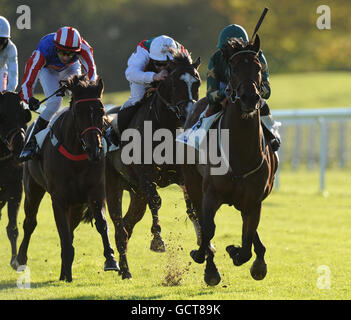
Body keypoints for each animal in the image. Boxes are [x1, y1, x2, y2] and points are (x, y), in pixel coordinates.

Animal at [14, 74, 119, 280]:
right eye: (78, 112)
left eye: (101, 110)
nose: (95, 150)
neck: (77, 154)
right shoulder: (59, 199)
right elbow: (63, 232)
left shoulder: (95, 192)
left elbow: (101, 224)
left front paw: (111, 259)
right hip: (32, 189)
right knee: (30, 223)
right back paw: (21, 260)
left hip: (77, 205)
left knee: (71, 228)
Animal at [105, 51, 201, 278]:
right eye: (174, 83)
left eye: (197, 82)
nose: (189, 114)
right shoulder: (147, 175)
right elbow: (156, 201)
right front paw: (157, 240)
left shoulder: (182, 176)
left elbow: (192, 206)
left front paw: (204, 242)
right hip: (113, 186)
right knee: (119, 226)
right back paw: (124, 270)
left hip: (137, 194)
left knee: (127, 226)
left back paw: (124, 267)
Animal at [183, 36, 280, 286]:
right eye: (234, 69)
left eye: (258, 68)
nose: (250, 98)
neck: (240, 152)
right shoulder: (210, 194)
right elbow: (208, 229)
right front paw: (208, 265)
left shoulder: (254, 200)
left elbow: (246, 241)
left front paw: (242, 255)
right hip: (192, 184)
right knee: (201, 220)